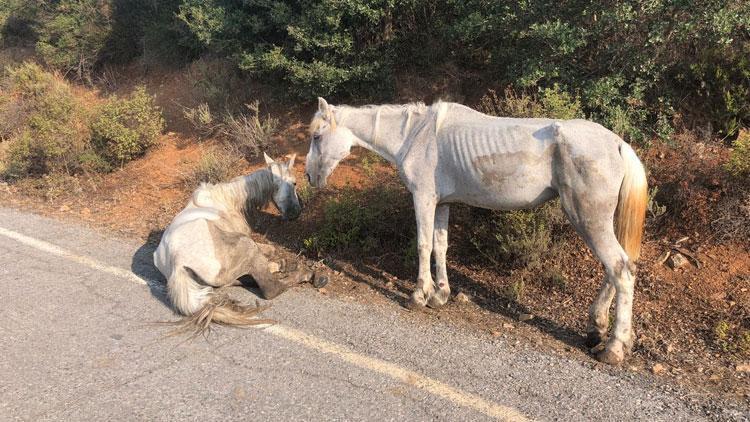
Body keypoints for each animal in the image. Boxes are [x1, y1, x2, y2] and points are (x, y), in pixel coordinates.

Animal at [306, 98, 652, 362]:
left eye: (316, 137)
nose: (309, 176)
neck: (417, 135)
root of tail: (618, 143)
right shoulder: (442, 203)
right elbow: (440, 245)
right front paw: (440, 294)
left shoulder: (424, 198)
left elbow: (422, 245)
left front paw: (418, 295)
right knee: (616, 269)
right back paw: (597, 329)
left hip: (588, 220)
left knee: (620, 270)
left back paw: (613, 348)